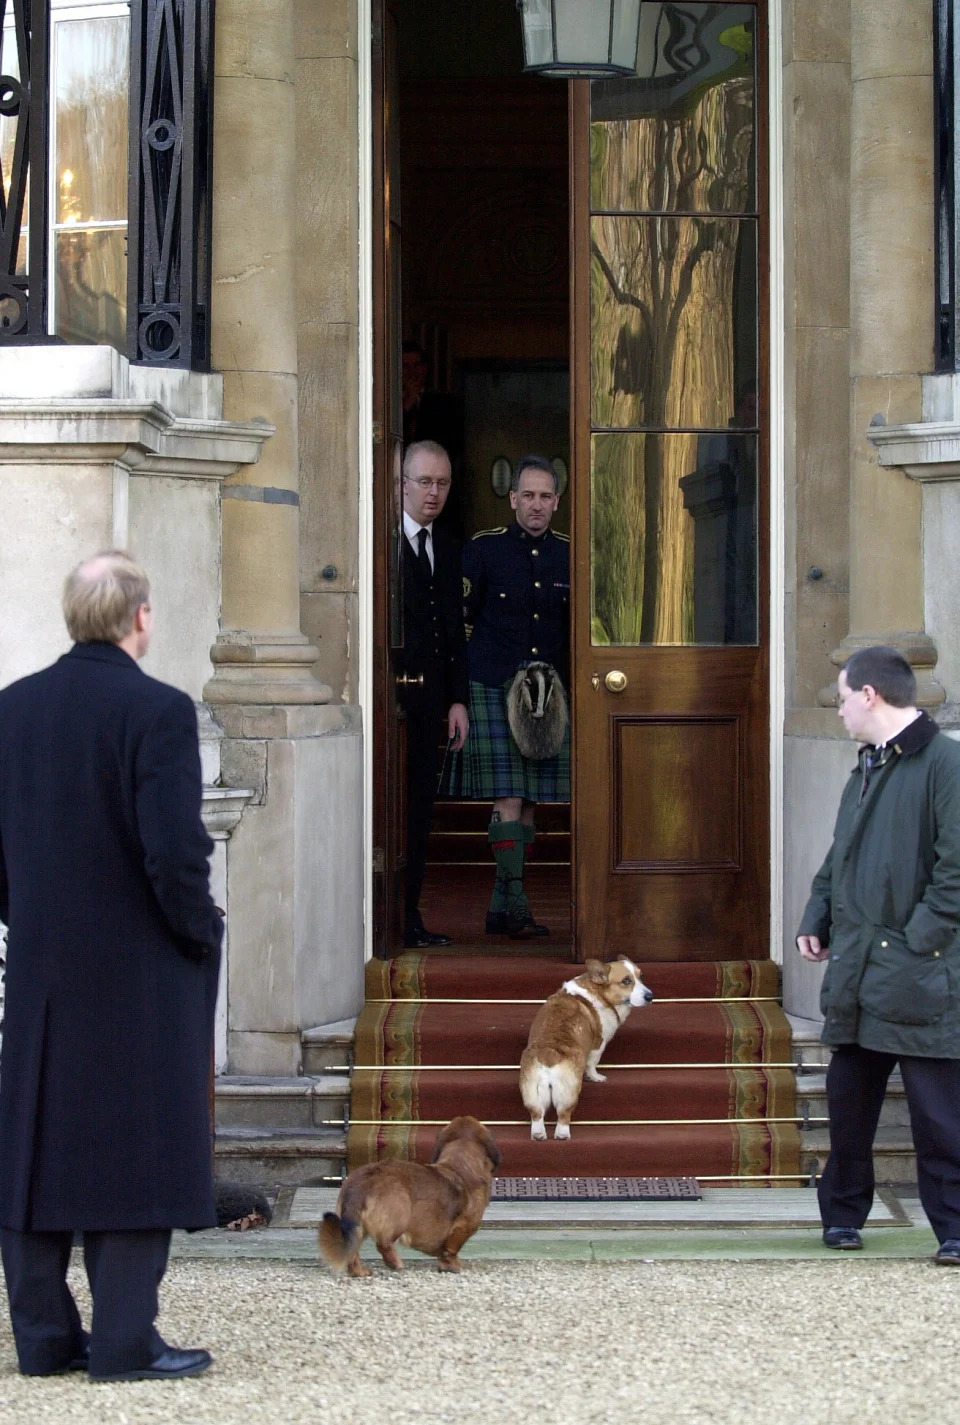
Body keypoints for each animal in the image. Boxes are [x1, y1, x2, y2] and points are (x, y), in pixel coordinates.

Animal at [321, 1111, 501, 1282]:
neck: (460, 1165)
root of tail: (363, 1181)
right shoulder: (465, 1227)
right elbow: (451, 1249)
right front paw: (452, 1266)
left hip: (356, 1227)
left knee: (353, 1252)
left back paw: (360, 1272)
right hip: (400, 1214)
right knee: (383, 1243)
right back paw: (395, 1263)